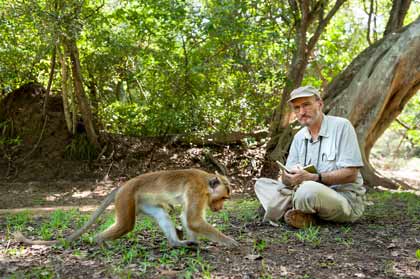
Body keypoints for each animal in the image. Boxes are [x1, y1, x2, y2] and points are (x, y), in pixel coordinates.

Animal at [13, 170, 238, 248]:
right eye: (223, 197)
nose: (220, 207)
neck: (205, 181)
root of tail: (122, 186)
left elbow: (187, 218)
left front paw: (192, 241)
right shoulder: (196, 190)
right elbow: (193, 219)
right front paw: (230, 241)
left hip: (143, 202)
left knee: (161, 214)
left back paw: (176, 243)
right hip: (127, 198)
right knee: (125, 225)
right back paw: (98, 241)